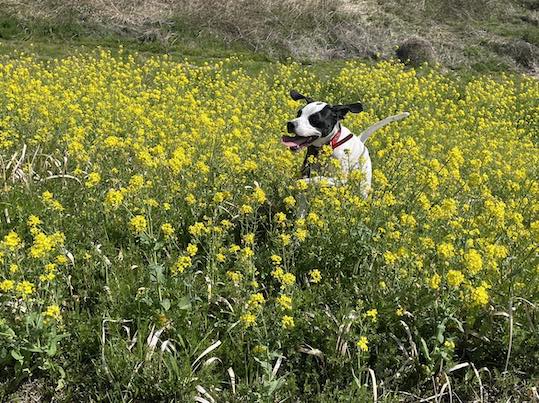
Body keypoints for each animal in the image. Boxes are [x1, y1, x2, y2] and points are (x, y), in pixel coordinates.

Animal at [282, 90, 410, 200]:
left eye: (314, 120)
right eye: (298, 113)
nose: (290, 124)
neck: (329, 146)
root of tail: (360, 140)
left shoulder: (340, 179)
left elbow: (319, 178)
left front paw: (300, 183)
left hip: (364, 182)